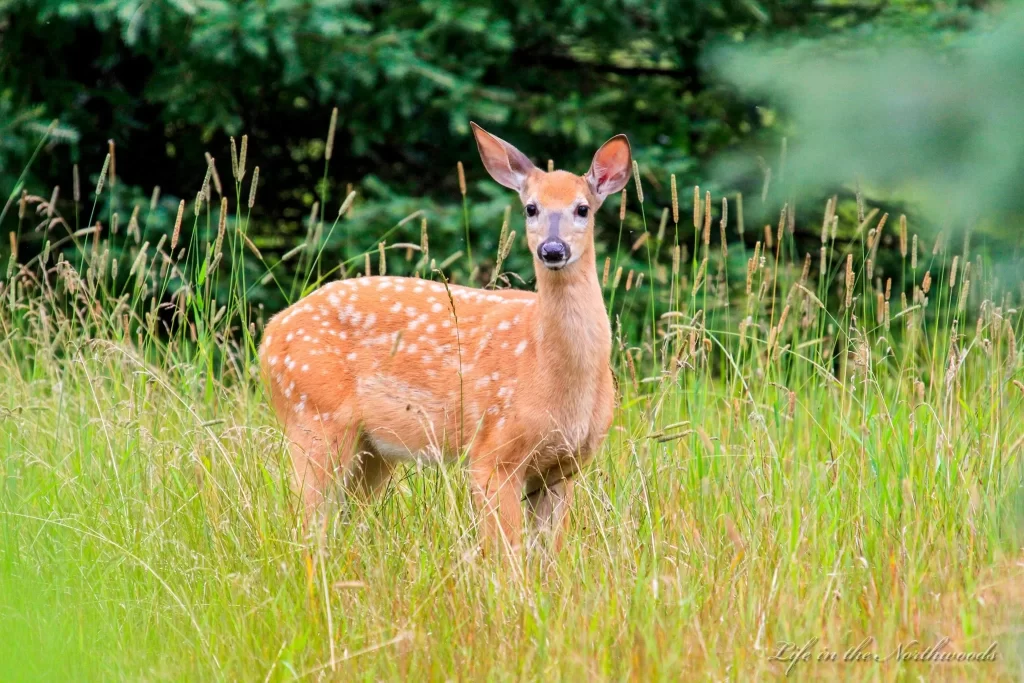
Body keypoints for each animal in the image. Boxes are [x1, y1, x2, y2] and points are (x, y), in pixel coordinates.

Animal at [259, 123, 632, 554]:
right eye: (530, 208)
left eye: (582, 209)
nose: (552, 249)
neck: (549, 370)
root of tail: (270, 333)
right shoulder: (492, 453)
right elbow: (506, 553)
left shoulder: (563, 469)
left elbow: (548, 556)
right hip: (313, 417)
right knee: (307, 522)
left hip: (372, 449)